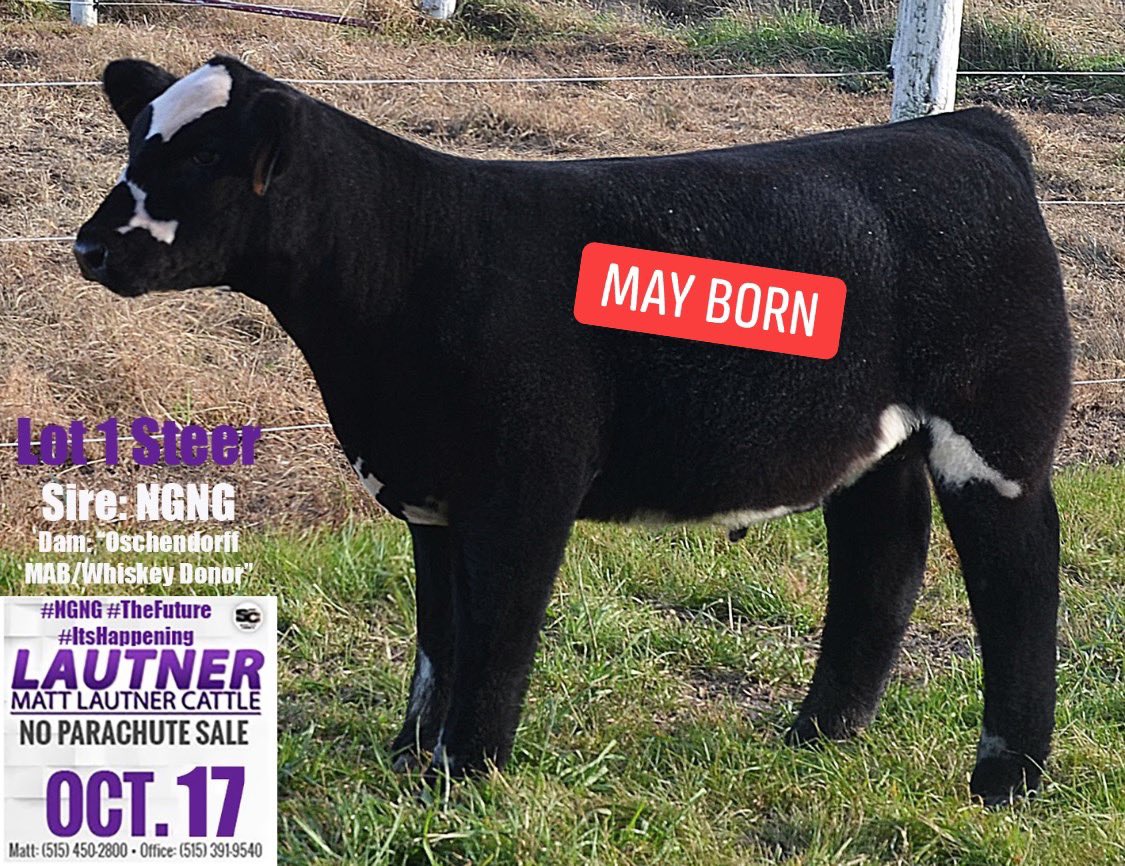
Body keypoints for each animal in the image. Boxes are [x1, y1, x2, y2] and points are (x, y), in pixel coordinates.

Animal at [74, 56, 1072, 805]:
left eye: (206, 153)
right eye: (136, 139)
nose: (89, 246)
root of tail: (962, 130)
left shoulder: (525, 488)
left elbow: (496, 635)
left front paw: (464, 774)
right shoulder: (432, 493)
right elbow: (438, 637)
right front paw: (409, 758)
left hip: (998, 431)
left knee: (1019, 576)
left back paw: (1004, 779)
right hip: (875, 443)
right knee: (880, 558)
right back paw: (818, 736)